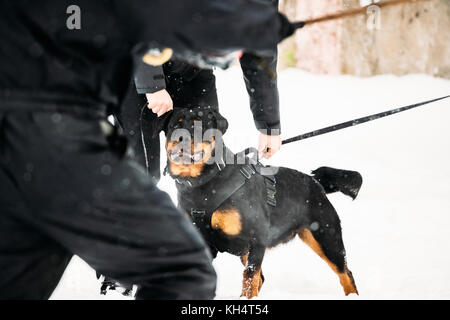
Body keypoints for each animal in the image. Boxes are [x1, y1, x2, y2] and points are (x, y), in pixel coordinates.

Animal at [153, 106, 364, 298]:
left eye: (201, 126)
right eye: (175, 125)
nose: (181, 139)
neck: (203, 182)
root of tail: (315, 182)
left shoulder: (257, 238)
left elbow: (249, 277)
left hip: (326, 236)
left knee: (345, 273)